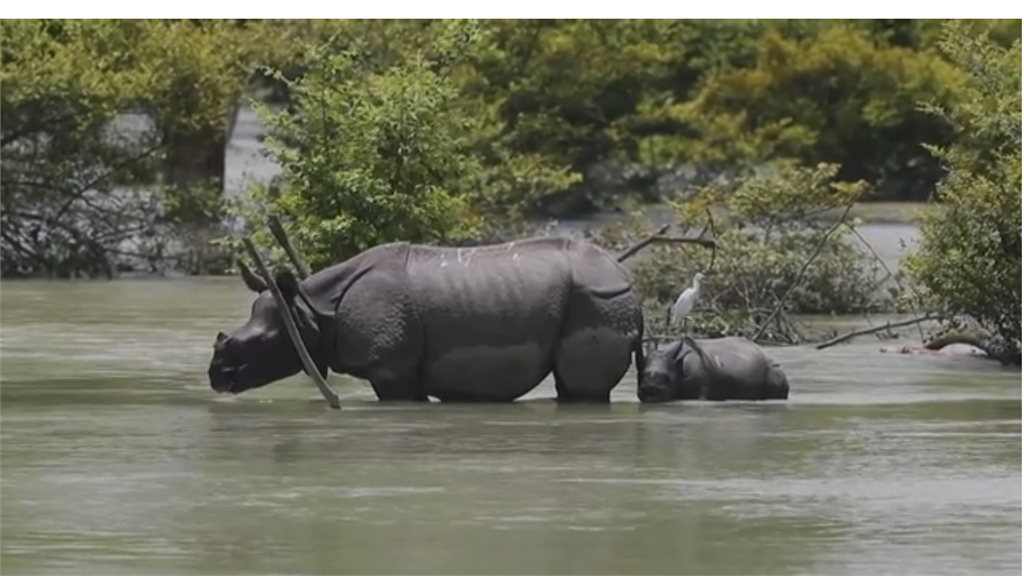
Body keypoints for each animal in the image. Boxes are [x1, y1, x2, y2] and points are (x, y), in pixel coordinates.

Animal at [205, 235, 647, 401]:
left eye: (261, 343)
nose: (216, 376)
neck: (312, 308)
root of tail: (628, 281)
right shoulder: (402, 365)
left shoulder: (390, 364)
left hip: (599, 299)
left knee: (580, 389)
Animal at [634, 334, 786, 401]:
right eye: (640, 375)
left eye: (668, 379)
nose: (650, 391)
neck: (679, 365)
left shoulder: (703, 388)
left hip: (775, 370)